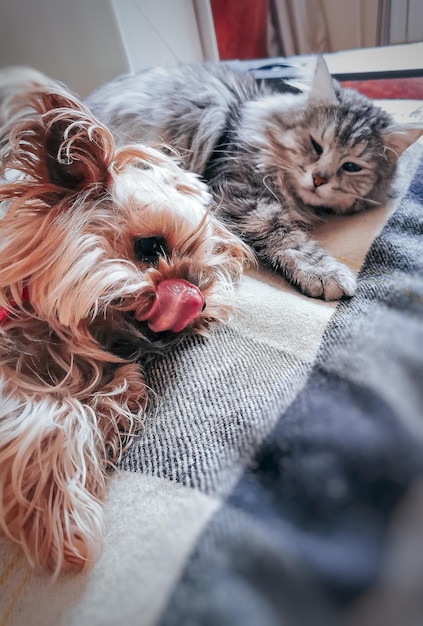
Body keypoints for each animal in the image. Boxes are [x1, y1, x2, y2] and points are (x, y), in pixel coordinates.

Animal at [0, 67, 252, 572]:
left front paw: (119, 397)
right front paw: (64, 521)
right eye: (150, 247)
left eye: (208, 274)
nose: (196, 300)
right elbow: (51, 414)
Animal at [87, 58, 423, 300]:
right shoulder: (243, 193)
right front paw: (324, 274)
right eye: (316, 145)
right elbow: (289, 238)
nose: (318, 179)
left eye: (351, 167)